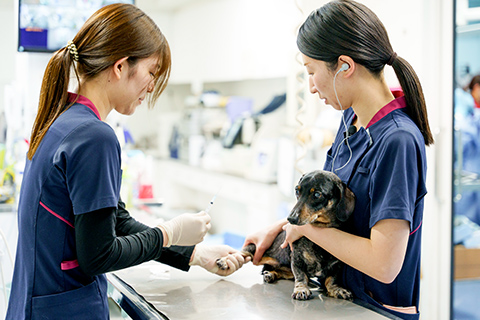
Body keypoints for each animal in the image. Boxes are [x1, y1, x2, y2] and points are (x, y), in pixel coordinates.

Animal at [218, 170, 356, 300]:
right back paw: (225, 261)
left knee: (281, 272)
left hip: (286, 269)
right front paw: (301, 289)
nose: (290, 219)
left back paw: (271, 274)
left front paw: (336, 289)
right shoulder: (297, 259)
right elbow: (301, 276)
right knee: (241, 254)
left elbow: (332, 279)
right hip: (256, 249)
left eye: (317, 194)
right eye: (297, 190)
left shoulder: (337, 265)